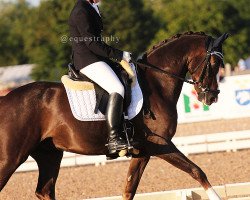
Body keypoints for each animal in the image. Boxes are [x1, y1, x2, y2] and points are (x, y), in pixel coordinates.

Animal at [0, 32, 229, 199]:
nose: (212, 97)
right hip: (11, 158)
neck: (156, 85)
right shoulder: (159, 143)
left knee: (44, 191)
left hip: (49, 154)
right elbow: (197, 171)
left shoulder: (143, 150)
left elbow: (129, 190)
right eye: (214, 64)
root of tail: (6, 99)